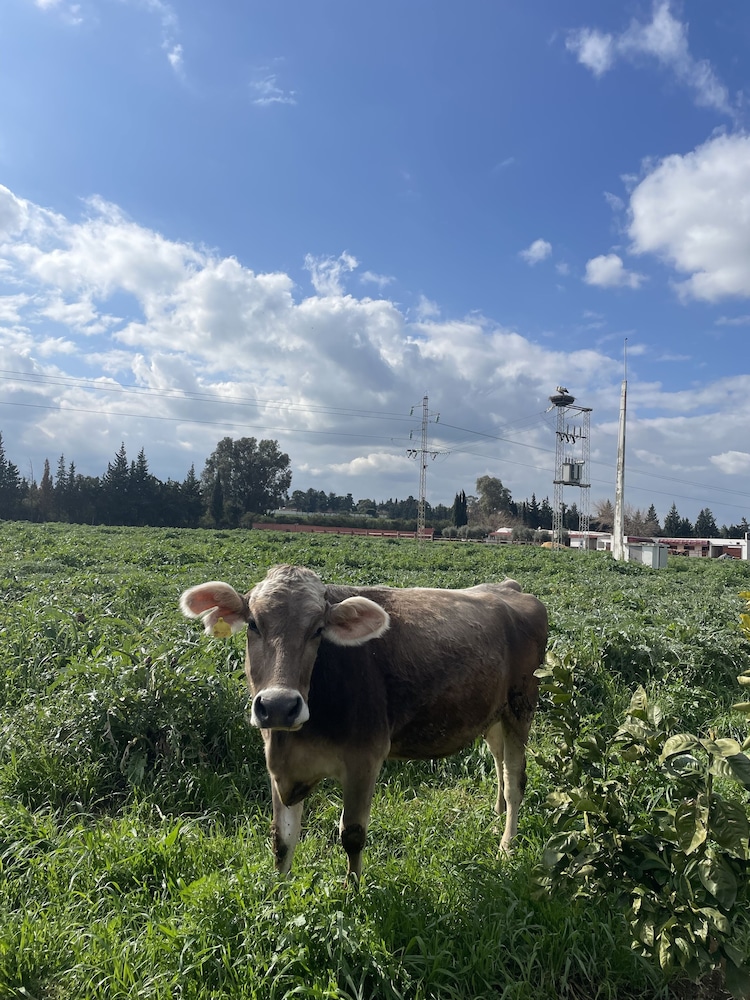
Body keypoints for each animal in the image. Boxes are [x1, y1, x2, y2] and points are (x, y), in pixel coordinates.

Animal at [180, 564, 548, 881]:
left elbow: (352, 834)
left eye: (317, 630)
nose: (279, 705)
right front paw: (278, 896)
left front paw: (353, 894)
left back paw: (506, 845)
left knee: (515, 781)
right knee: (499, 760)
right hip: (493, 713)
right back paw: (497, 811)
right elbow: (282, 840)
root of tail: (508, 588)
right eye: (254, 624)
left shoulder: (364, 758)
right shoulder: (280, 767)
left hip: (521, 706)